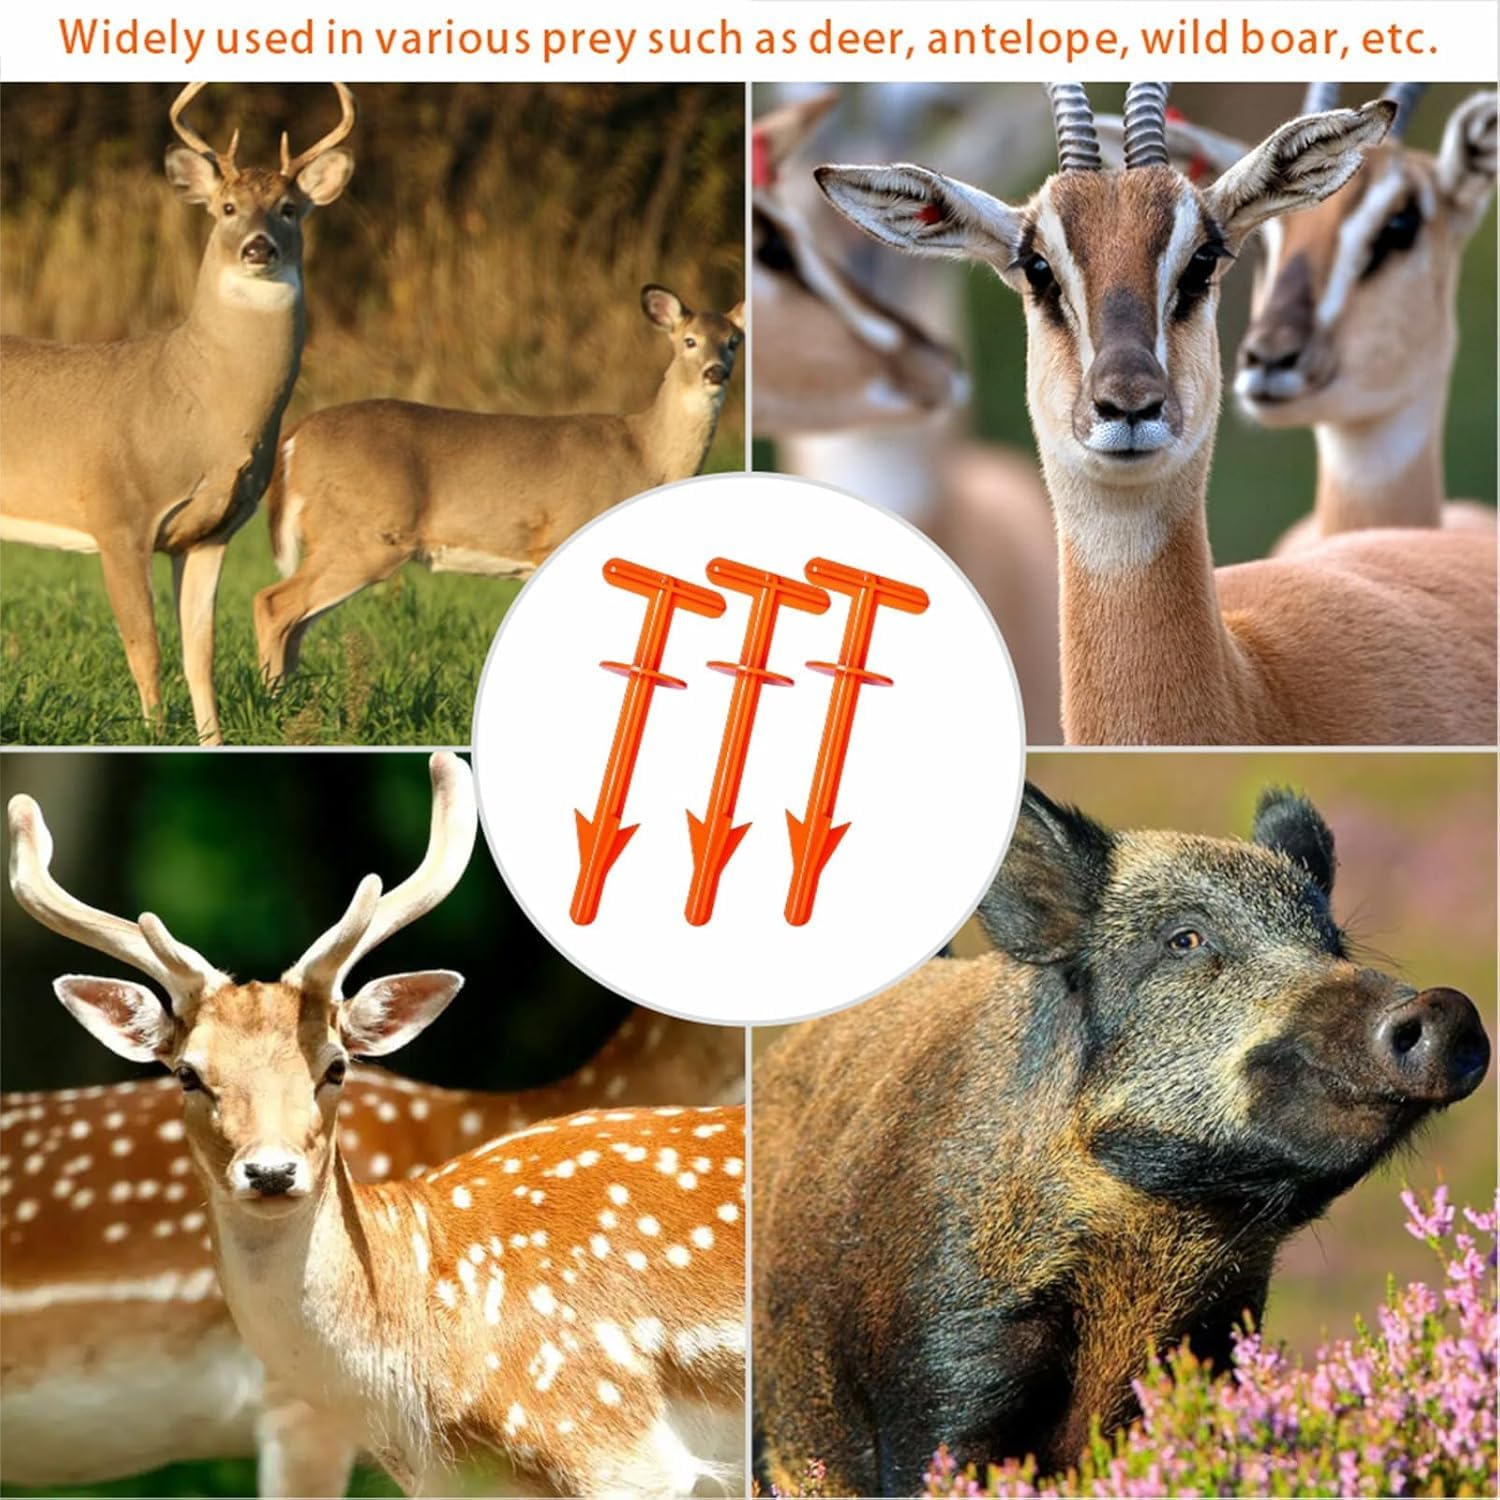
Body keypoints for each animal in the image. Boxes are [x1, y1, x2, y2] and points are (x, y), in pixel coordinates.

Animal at [0, 82, 356, 746]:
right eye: (226, 206)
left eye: (290, 208)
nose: (258, 247)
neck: (191, 401)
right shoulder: (117, 516)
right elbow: (146, 646)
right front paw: (153, 734)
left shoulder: (210, 533)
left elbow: (200, 652)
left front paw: (210, 739)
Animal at [252, 285, 745, 686]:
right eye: (689, 341)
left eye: (733, 342)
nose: (715, 372)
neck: (645, 453)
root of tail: (296, 436)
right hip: (363, 535)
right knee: (273, 603)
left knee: (295, 621)